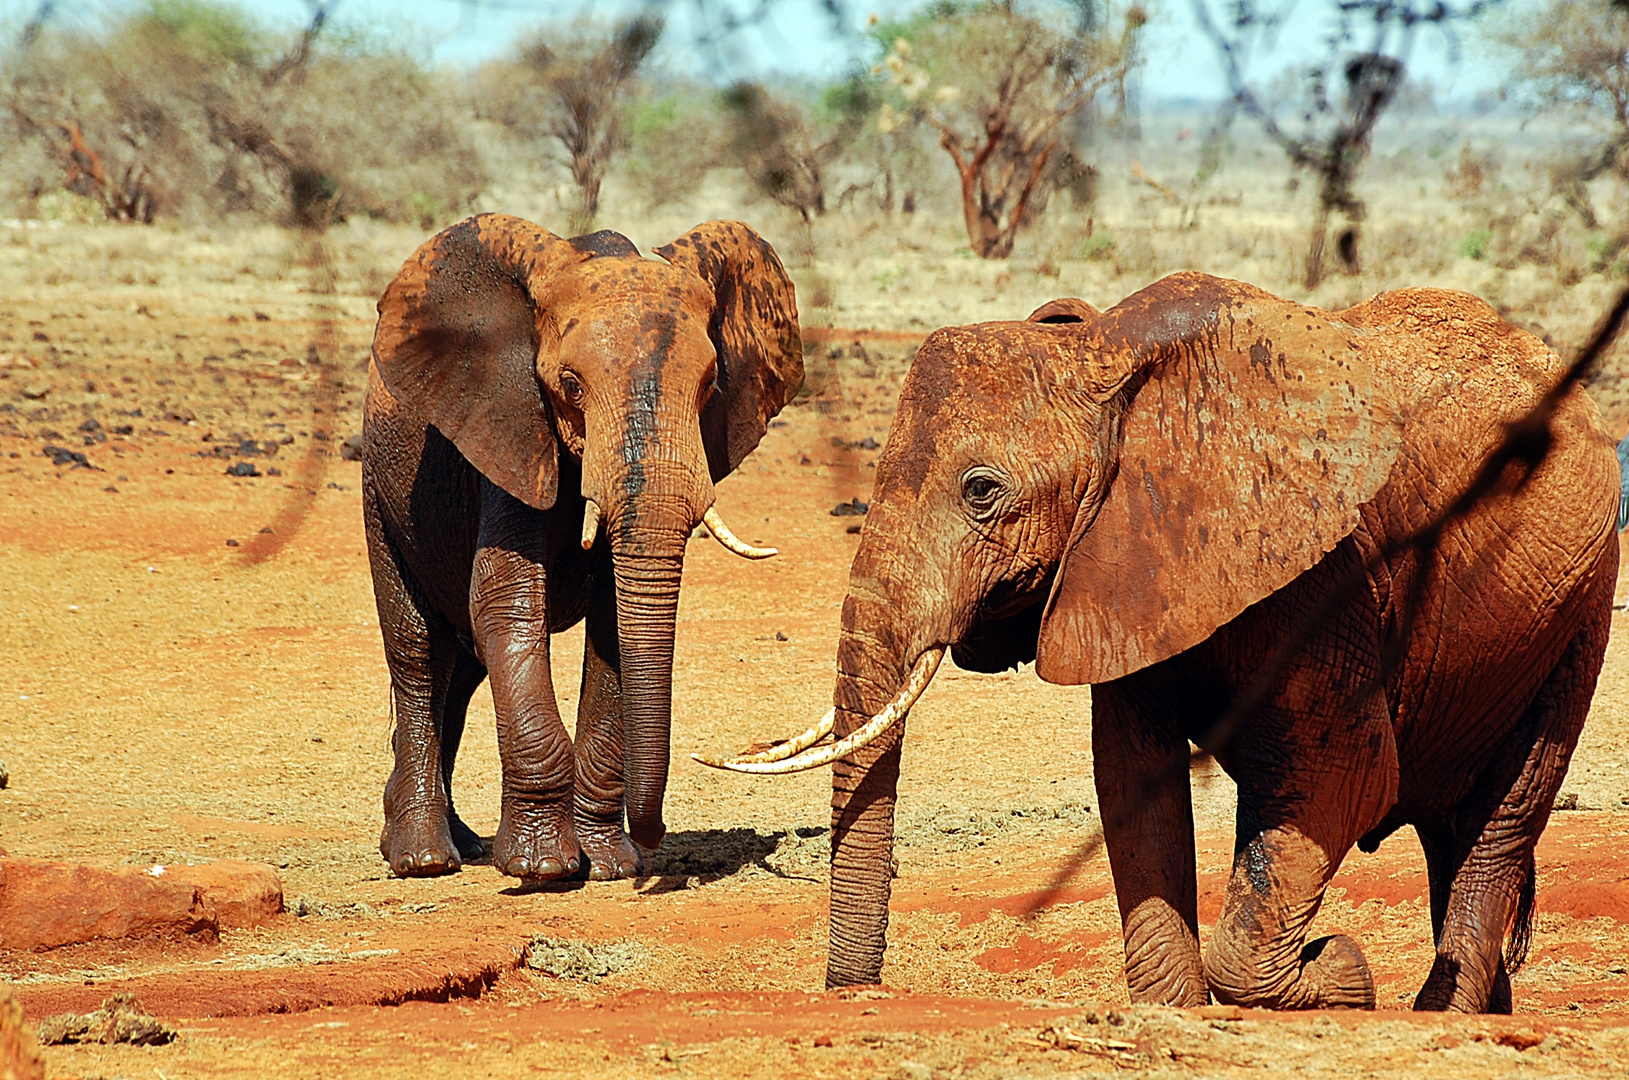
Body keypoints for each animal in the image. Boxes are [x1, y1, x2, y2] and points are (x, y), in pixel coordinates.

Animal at [368, 215, 801, 886]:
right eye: (569, 385)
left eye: (710, 386)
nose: (656, 836)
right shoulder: (514, 425)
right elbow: (506, 604)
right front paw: (543, 867)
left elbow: (614, 623)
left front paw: (608, 865)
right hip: (380, 492)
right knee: (417, 653)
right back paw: (423, 859)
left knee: (460, 669)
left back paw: (461, 844)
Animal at [706, 270, 1622, 1016]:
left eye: (981, 492)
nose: (855, 994)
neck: (1109, 362)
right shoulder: (1119, 566)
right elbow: (1130, 780)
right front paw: (1177, 1010)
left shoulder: (1329, 573)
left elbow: (1344, 778)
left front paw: (1339, 968)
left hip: (1578, 606)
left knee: (1503, 814)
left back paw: (1443, 1013)